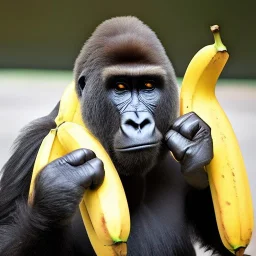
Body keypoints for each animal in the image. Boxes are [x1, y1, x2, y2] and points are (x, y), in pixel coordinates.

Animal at [0, 17, 233, 255]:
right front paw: (56, 194)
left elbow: (223, 243)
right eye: (120, 87)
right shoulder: (33, 146)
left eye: (148, 86)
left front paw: (195, 148)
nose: (138, 123)